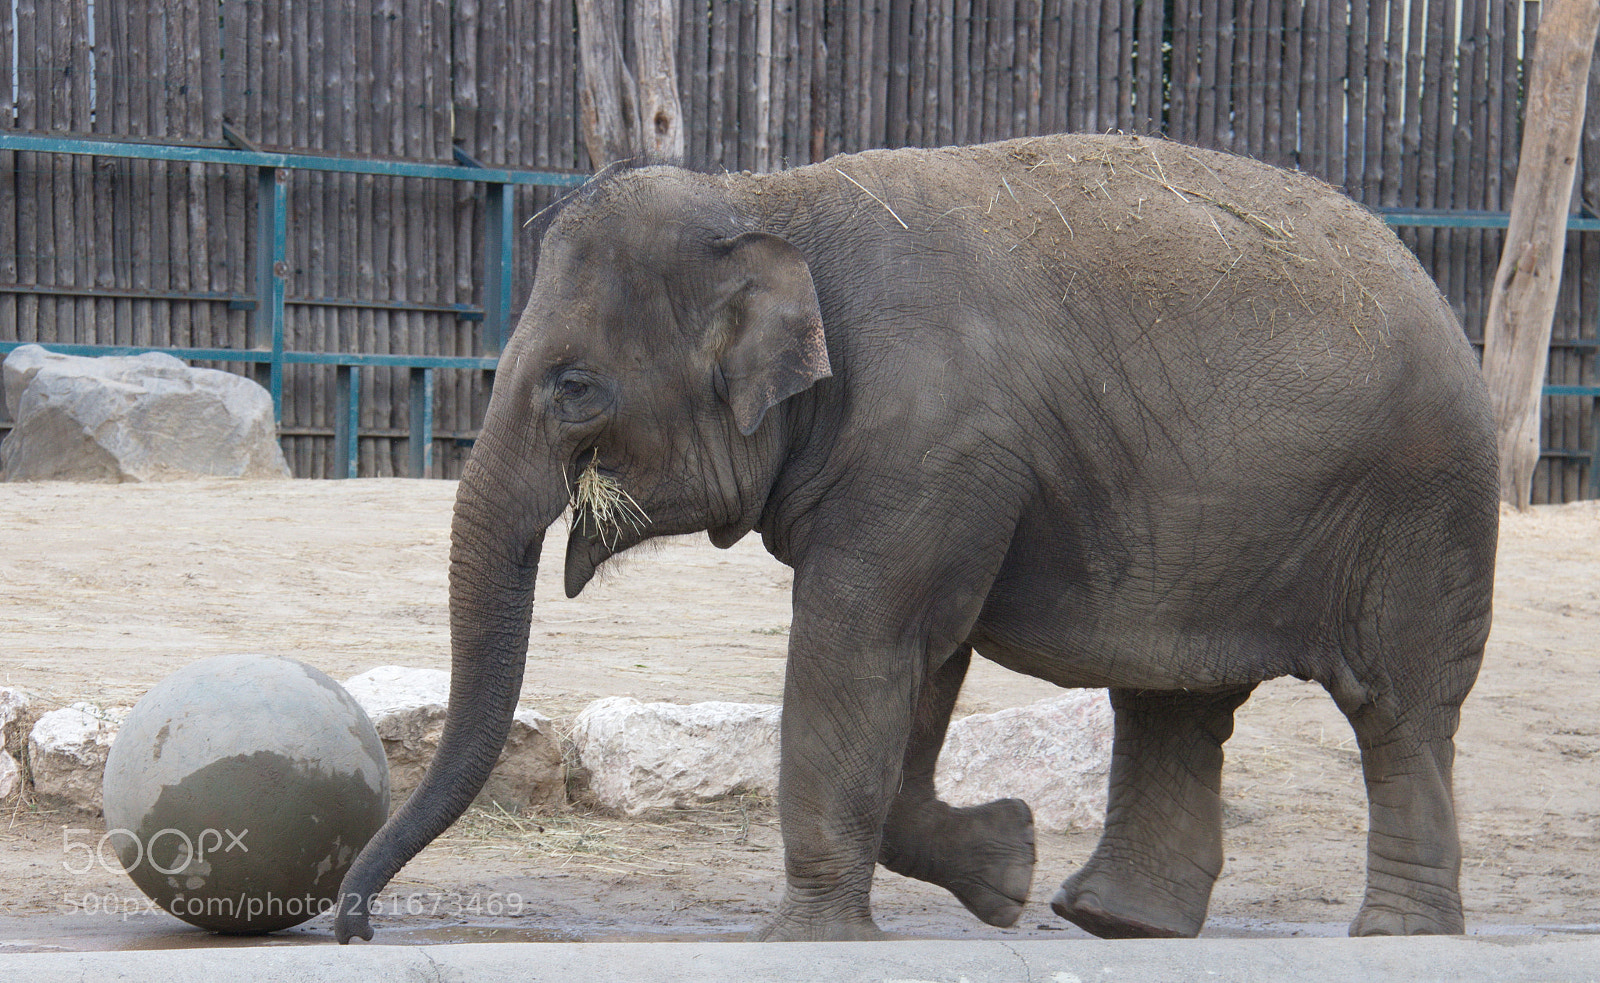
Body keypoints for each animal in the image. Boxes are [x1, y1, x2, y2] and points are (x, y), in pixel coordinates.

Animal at [334, 132, 1498, 943]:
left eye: (574, 386)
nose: (352, 924)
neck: (771, 200)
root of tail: (1437, 292)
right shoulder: (937, 480)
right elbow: (918, 665)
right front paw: (1008, 866)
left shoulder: (931, 447)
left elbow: (858, 646)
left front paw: (806, 940)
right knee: (1175, 704)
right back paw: (1114, 919)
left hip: (1421, 513)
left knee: (1398, 708)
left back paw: (1395, 935)